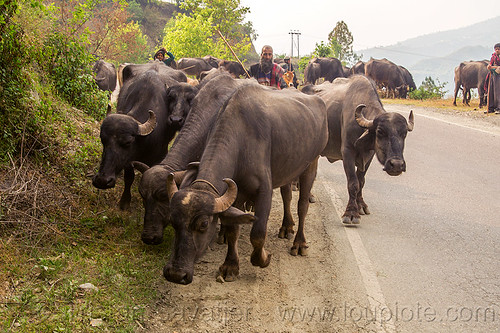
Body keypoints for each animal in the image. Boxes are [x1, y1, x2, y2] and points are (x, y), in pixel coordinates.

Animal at [93, 64, 194, 210]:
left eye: (128, 142)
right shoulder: (129, 159)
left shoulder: (160, 155)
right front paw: (124, 202)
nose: (102, 180)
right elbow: (129, 177)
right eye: (103, 140)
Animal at [164, 81, 328, 284]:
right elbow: (232, 230)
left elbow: (257, 233)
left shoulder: (264, 191)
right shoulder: (237, 194)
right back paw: (286, 227)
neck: (241, 141)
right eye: (172, 221)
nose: (175, 274)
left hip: (312, 163)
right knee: (287, 196)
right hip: (289, 169)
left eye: (203, 224)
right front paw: (230, 266)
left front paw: (263, 258)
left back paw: (299, 243)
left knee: (302, 204)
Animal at [304, 75, 414, 224]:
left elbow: (361, 181)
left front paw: (361, 205)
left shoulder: (369, 155)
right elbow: (353, 183)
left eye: (404, 133)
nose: (396, 165)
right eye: (380, 131)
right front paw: (351, 213)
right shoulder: (347, 152)